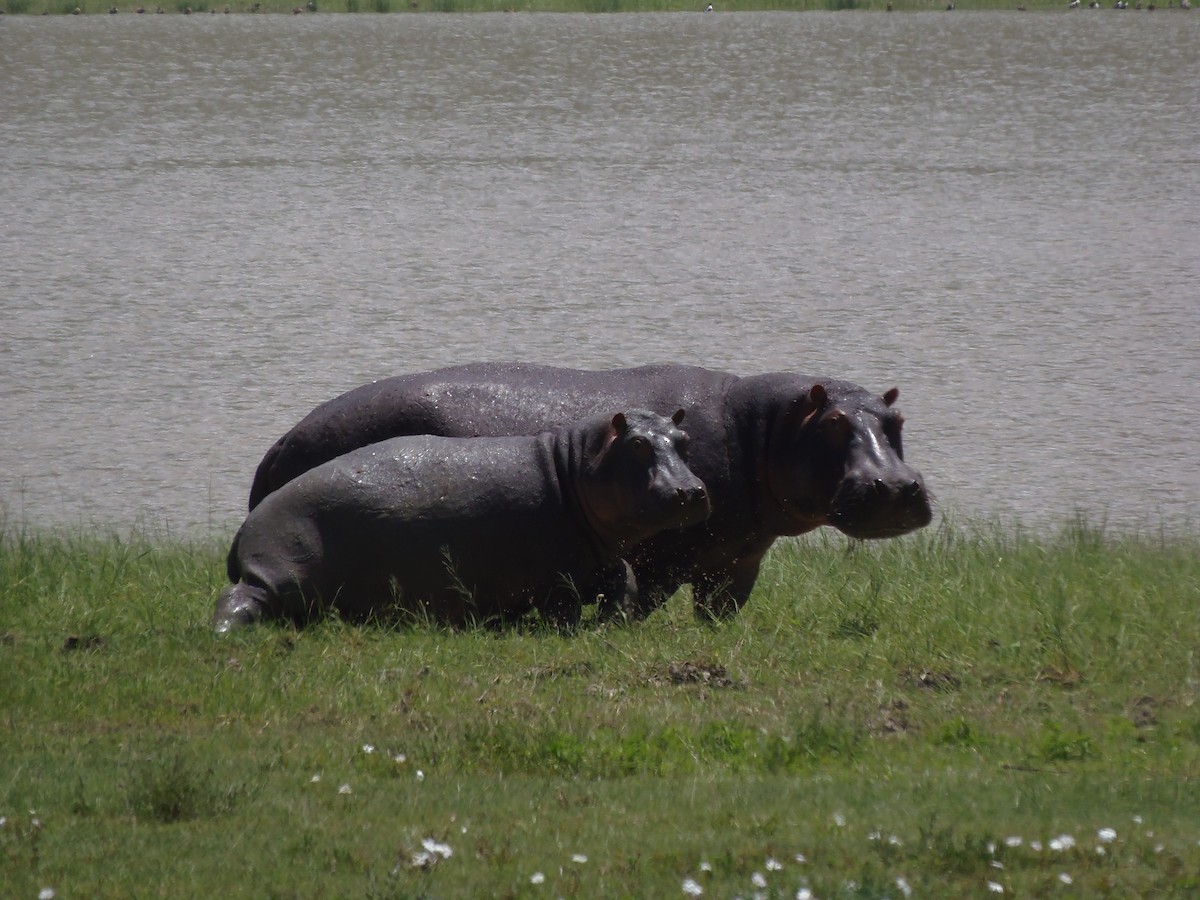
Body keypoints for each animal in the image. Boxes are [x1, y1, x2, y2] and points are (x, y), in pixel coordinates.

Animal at [213, 409, 710, 632]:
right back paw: (227, 632)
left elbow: (626, 579)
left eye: (683, 438)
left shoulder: (598, 556)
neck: (574, 466)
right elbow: (563, 609)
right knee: (238, 598)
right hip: (277, 570)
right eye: (637, 445)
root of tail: (244, 526)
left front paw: (614, 621)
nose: (692, 491)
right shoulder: (558, 572)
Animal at [247, 364, 932, 619]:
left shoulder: (737, 562)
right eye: (835, 423)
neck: (763, 431)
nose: (898, 487)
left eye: (897, 419)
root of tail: (280, 442)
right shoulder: (666, 558)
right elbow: (637, 603)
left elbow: (720, 617)